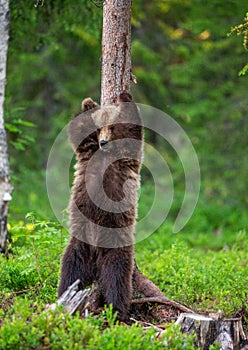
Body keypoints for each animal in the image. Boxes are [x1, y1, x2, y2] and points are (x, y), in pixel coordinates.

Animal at [58, 92, 142, 320]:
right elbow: (78, 131)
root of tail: (96, 256)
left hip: (115, 242)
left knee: (117, 276)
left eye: (111, 127)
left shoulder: (127, 156)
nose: (103, 142)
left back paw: (118, 311)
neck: (106, 154)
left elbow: (133, 129)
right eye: (100, 128)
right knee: (70, 269)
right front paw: (88, 103)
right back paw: (62, 296)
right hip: (80, 242)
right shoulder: (87, 153)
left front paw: (124, 96)